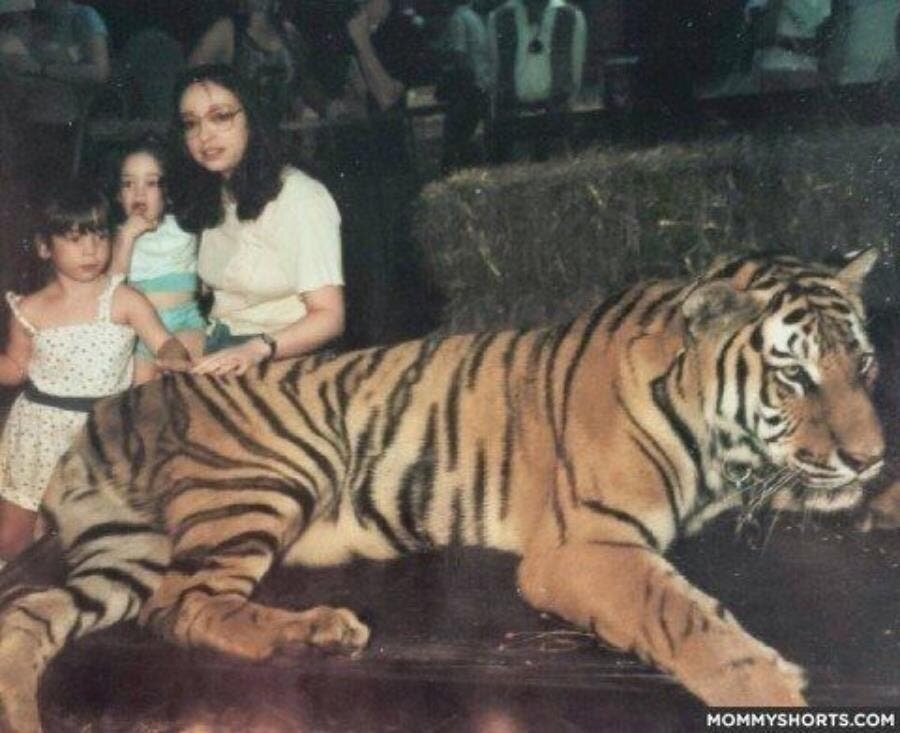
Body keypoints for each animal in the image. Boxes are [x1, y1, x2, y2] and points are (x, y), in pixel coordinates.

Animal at [0, 250, 884, 728]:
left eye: (865, 367)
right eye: (796, 376)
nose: (869, 455)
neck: (722, 442)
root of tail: (111, 406)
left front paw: (880, 487)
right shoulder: (585, 547)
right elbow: (686, 617)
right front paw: (775, 690)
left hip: (124, 551)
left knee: (33, 614)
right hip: (267, 475)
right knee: (182, 605)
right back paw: (322, 630)